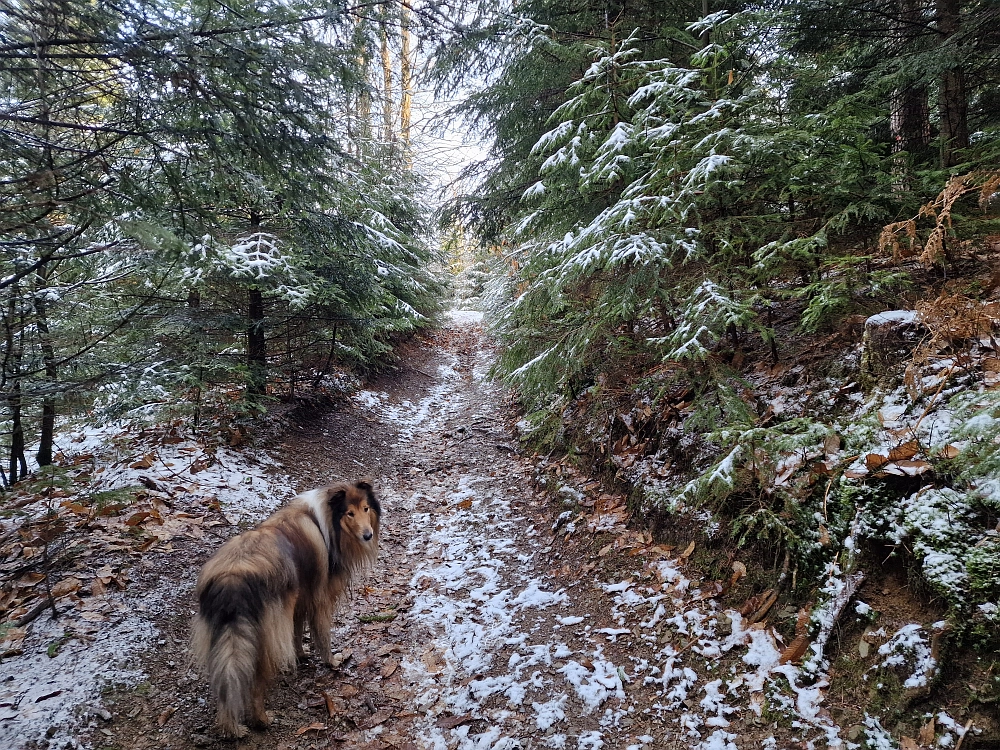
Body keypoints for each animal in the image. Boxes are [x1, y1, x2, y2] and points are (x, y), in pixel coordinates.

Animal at [192, 478, 382, 736]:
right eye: (349, 513)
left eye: (365, 508)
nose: (367, 535)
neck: (327, 523)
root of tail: (232, 577)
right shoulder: (320, 599)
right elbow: (322, 635)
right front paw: (332, 661)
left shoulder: (300, 599)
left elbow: (297, 631)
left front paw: (300, 654)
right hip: (265, 638)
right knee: (255, 683)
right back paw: (262, 720)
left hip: (226, 639)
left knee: (226, 685)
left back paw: (231, 729)